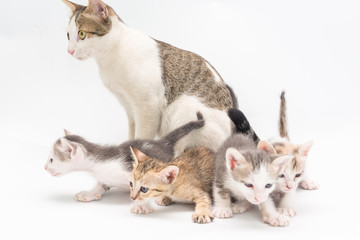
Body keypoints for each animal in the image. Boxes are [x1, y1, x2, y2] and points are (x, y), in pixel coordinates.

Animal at [43, 113, 204, 202]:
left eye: (51, 159)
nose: (44, 167)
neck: (97, 167)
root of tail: (162, 142)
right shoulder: (105, 177)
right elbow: (101, 184)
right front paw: (90, 193)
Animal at [62, 0, 236, 153]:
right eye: (68, 36)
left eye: (82, 34)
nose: (69, 51)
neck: (111, 55)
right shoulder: (129, 107)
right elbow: (132, 134)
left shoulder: (148, 105)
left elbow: (143, 136)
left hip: (184, 109)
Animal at [272, 90, 320, 218]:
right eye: (281, 175)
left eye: (297, 175)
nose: (289, 185)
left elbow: (290, 193)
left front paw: (285, 208)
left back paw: (308, 181)